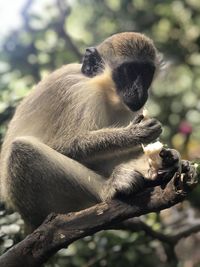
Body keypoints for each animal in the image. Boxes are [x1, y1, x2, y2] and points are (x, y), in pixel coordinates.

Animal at [0, 31, 194, 232]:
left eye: (146, 72)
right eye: (129, 71)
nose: (139, 90)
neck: (104, 90)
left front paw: (168, 158)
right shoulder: (81, 94)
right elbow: (62, 146)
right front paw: (134, 134)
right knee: (21, 149)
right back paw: (109, 187)